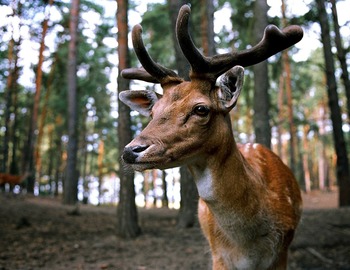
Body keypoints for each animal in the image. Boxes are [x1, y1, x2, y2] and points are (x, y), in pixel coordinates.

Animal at [119, 4, 302, 270]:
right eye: (153, 112)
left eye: (201, 109)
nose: (131, 150)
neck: (248, 247)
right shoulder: (218, 256)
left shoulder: (282, 252)